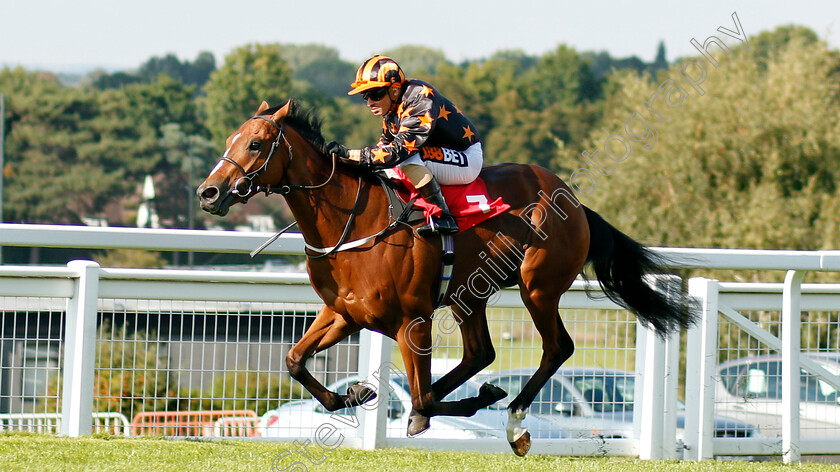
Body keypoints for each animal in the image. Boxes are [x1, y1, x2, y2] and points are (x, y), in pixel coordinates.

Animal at [197, 98, 696, 454]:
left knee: (557, 347)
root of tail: (575, 202)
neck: (352, 222)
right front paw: (354, 394)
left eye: (255, 144)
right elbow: (295, 360)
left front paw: (467, 401)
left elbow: (420, 397)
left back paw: (514, 420)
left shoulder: (412, 320)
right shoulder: (345, 312)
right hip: (468, 296)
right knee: (480, 353)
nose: (209, 192)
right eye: (231, 138)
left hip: (538, 287)